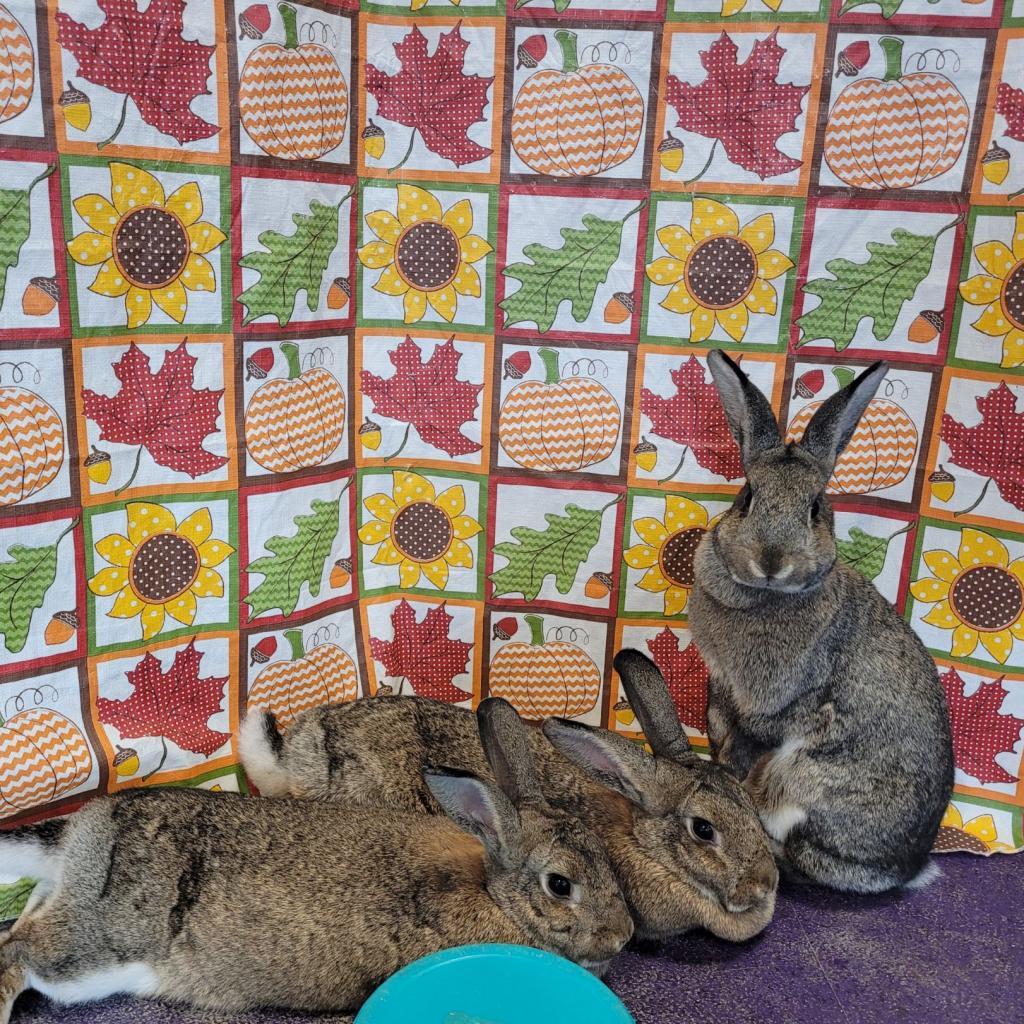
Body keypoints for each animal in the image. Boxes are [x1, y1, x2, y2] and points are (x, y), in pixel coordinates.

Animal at [0, 698, 633, 1021]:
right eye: (560, 885)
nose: (624, 935)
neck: (494, 891)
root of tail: (81, 831)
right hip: (96, 952)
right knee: (19, 952)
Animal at [687, 350, 954, 895]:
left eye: (814, 507)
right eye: (748, 496)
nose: (771, 559)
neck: (765, 596)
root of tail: (905, 867)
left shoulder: (775, 699)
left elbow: (754, 736)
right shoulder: (722, 685)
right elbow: (722, 732)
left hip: (802, 778)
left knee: (803, 856)